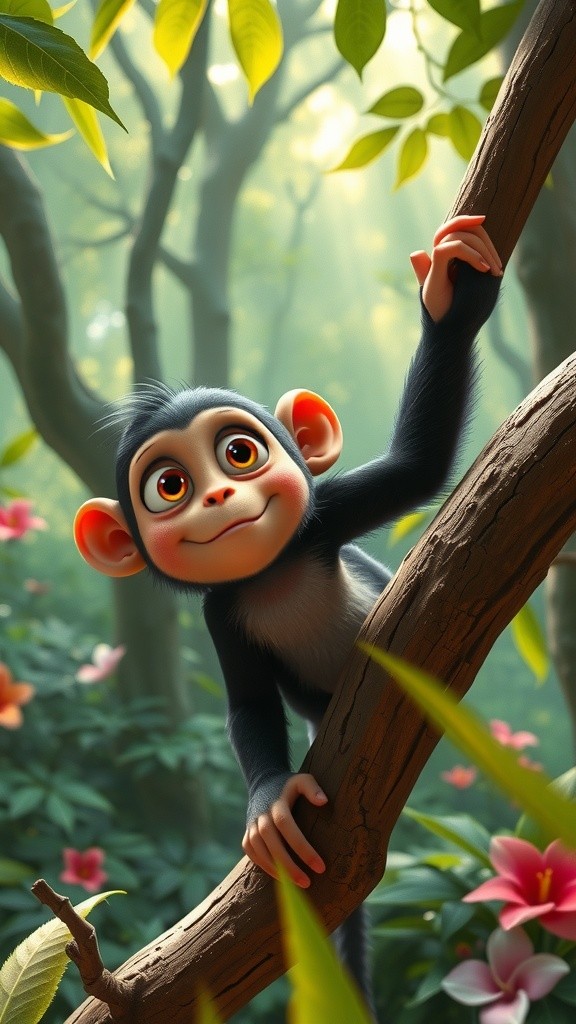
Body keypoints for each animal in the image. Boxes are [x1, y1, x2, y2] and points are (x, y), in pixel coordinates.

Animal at [74, 215, 502, 1007]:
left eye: (240, 452)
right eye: (169, 485)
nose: (218, 498)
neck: (269, 574)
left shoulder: (325, 518)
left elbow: (419, 465)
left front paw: (451, 302)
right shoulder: (220, 614)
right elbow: (246, 705)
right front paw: (268, 801)